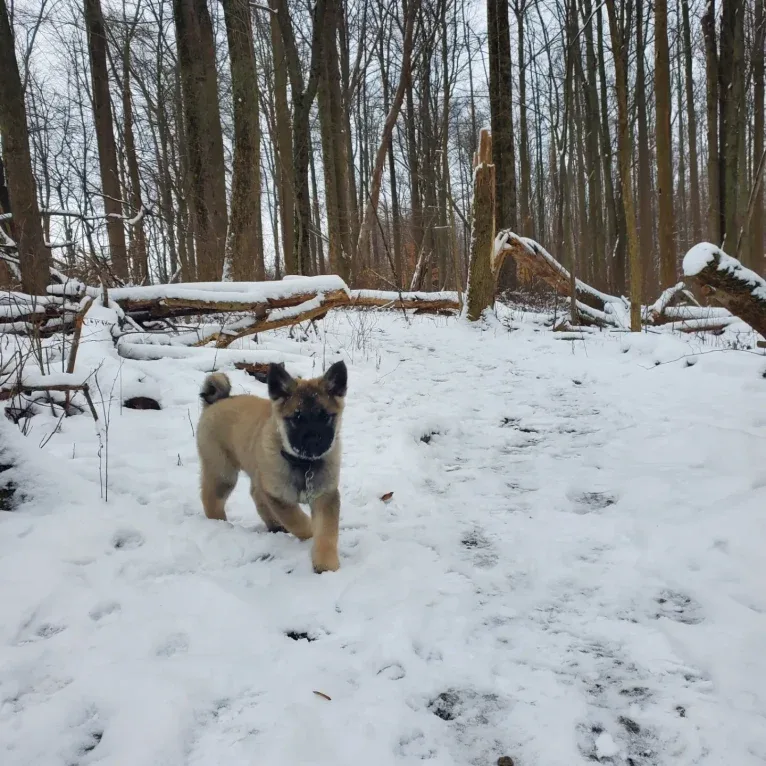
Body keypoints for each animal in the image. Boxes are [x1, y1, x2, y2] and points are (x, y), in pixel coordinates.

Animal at [196, 364, 350, 572]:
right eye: (296, 418)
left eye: (325, 416)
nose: (313, 442)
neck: (303, 464)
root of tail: (217, 401)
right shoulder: (278, 497)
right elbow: (298, 521)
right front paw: (310, 533)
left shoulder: (325, 495)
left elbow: (326, 531)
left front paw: (326, 563)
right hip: (223, 472)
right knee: (211, 499)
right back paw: (220, 525)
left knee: (255, 494)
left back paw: (274, 525)